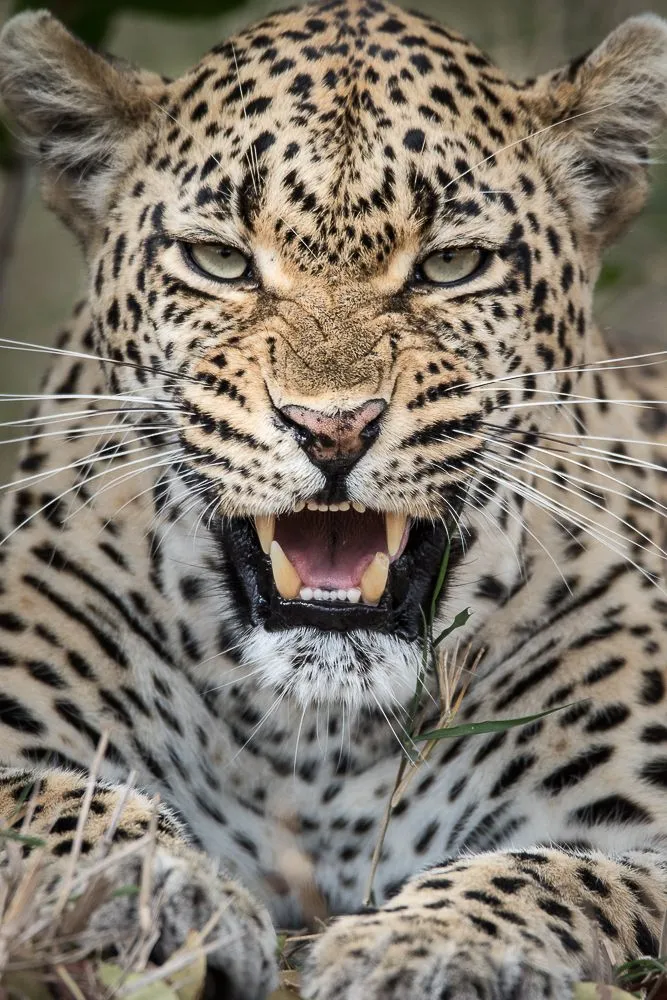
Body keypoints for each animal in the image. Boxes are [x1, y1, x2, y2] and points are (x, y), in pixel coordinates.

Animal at [1, 1, 667, 997]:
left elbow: (556, 873)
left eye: (452, 265)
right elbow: (58, 808)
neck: (318, 737)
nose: (333, 427)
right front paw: (163, 895)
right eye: (219, 261)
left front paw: (423, 944)